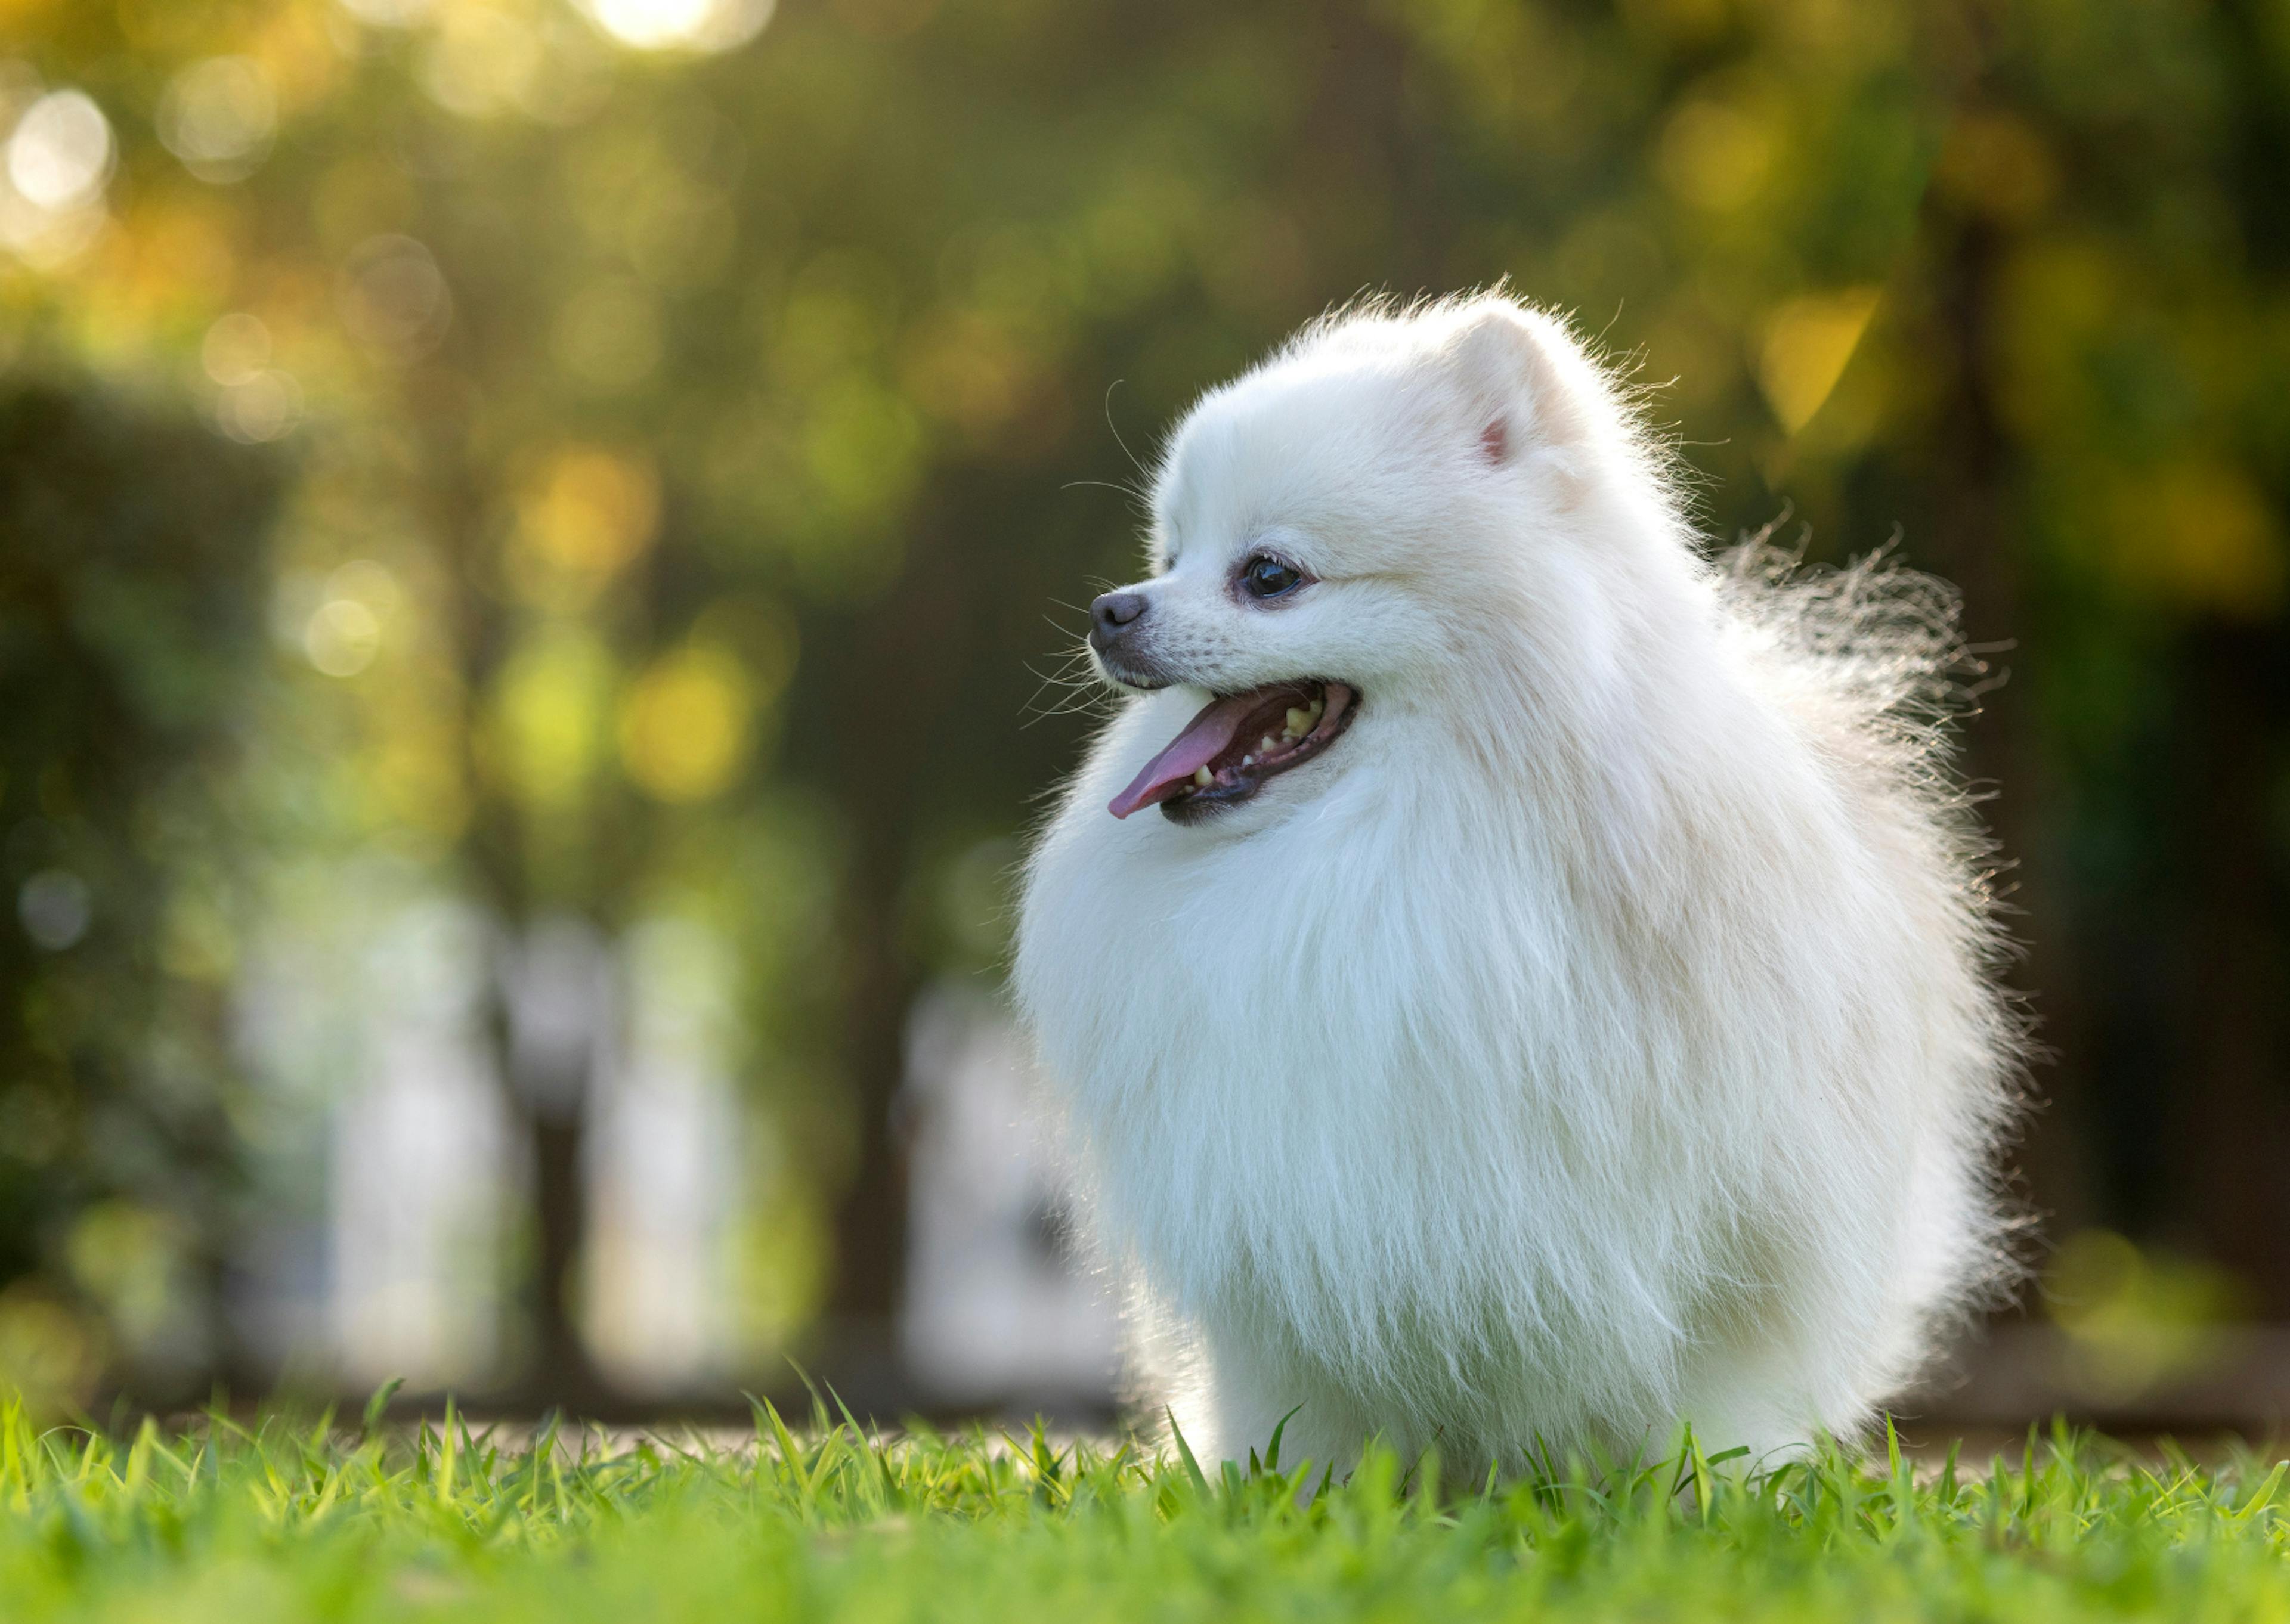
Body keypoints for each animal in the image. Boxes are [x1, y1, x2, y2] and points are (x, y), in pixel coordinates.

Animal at [1012, 289, 2015, 1465]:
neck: (1399, 853)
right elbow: (1306, 1415)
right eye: (1170, 553)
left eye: (1268, 575)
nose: (1113, 609)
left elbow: (1701, 1396)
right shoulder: (1286, 1236)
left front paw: (1693, 1486)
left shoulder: (1718, 1228)